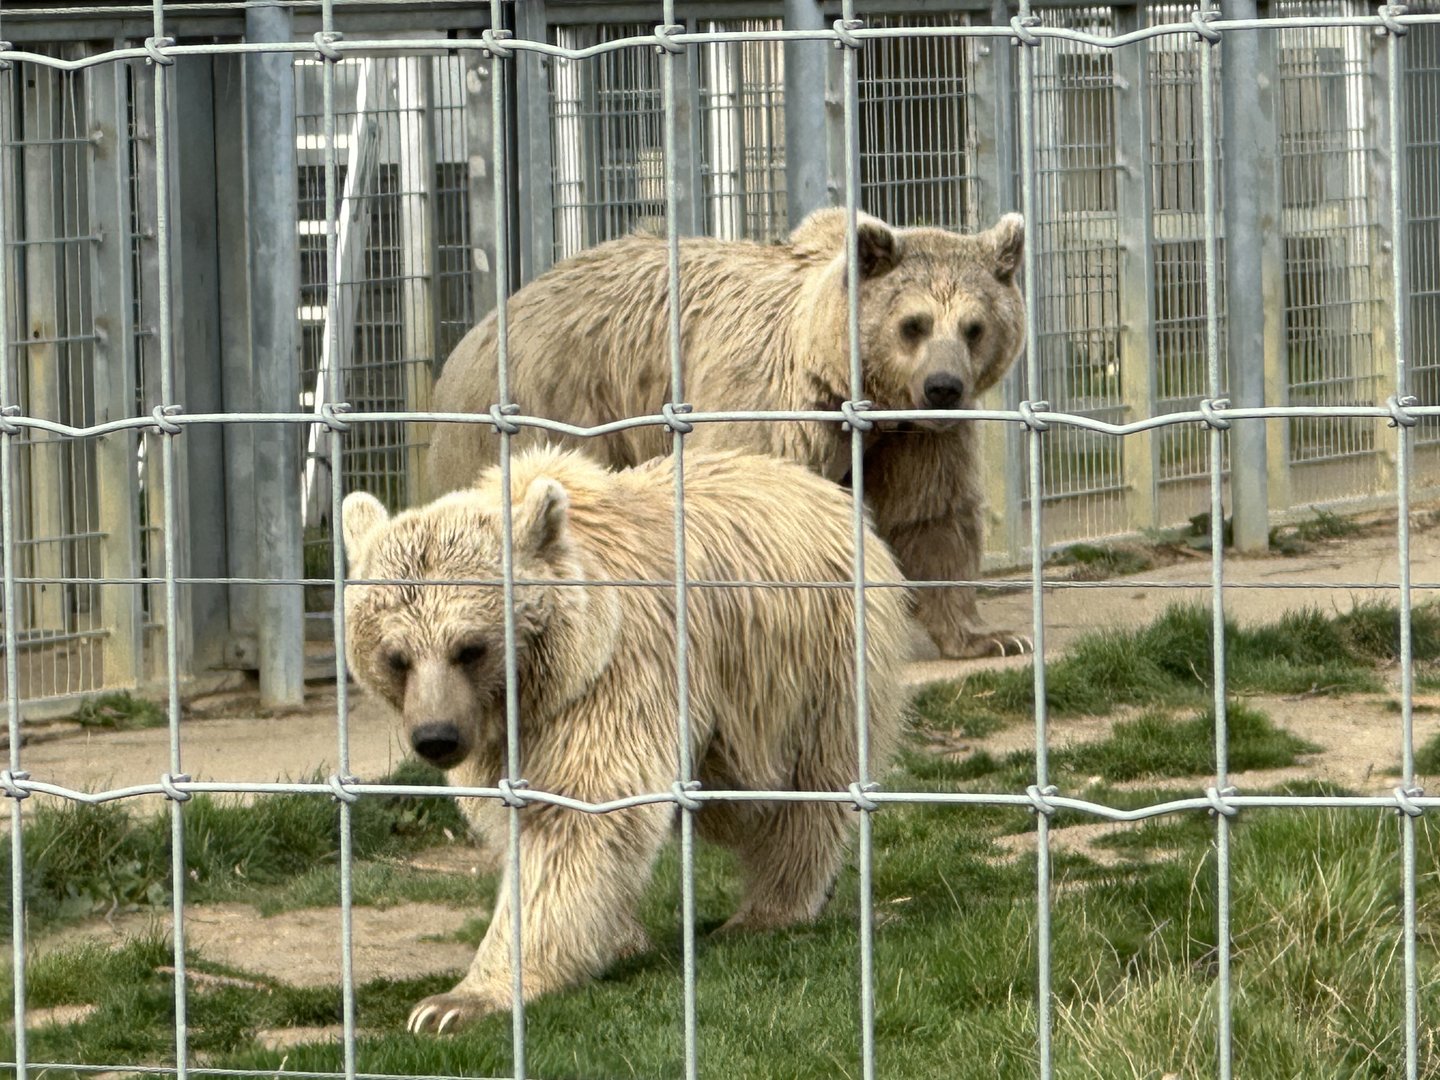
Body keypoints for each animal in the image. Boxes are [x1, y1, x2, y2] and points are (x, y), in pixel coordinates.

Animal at [342, 446, 911, 1034]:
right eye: (396, 656)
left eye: (469, 648)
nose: (436, 737)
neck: (537, 685)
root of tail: (823, 490)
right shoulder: (503, 734)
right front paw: (616, 938)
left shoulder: (616, 674)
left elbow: (576, 819)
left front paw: (453, 1003)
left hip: (811, 663)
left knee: (806, 796)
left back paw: (770, 910)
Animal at [426, 208, 1029, 659]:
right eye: (914, 324)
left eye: (974, 327)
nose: (943, 386)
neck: (848, 388)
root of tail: (477, 331)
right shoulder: (767, 407)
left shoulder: (913, 437)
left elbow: (930, 515)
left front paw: (990, 636)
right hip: (554, 409)